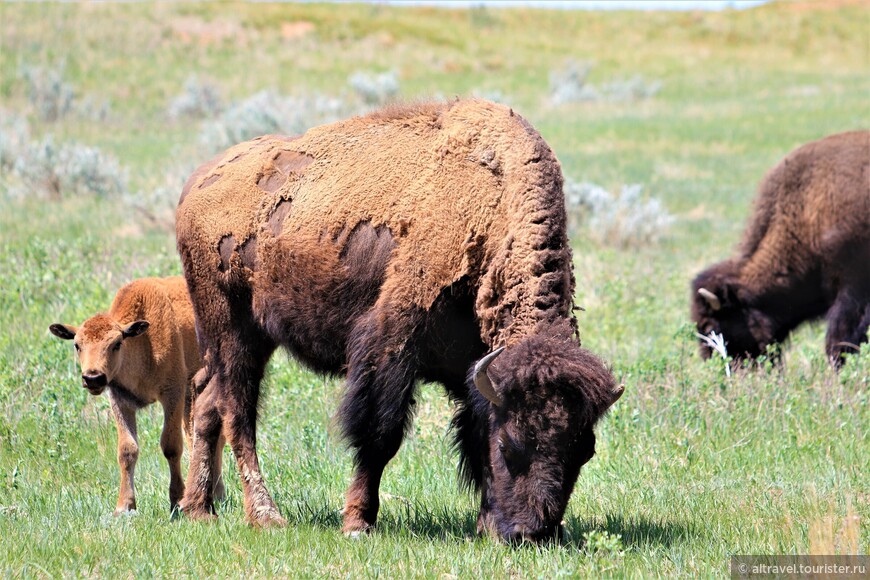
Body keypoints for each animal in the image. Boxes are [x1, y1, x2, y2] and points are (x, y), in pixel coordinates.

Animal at [48, 278, 225, 516]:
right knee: (197, 436)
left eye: (116, 343)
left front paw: (176, 500)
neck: (142, 343)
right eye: (77, 345)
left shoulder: (172, 394)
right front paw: (124, 506)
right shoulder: (120, 401)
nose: (93, 378)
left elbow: (171, 446)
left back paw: (216, 494)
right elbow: (127, 450)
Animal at [177, 101, 624, 544]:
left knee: (206, 400)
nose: (536, 534)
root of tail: (195, 187)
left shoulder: (475, 369)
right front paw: (358, 523)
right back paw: (266, 516)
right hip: (232, 329)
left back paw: (199, 510)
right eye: (509, 445)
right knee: (238, 413)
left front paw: (485, 525)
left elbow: (472, 432)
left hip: (242, 337)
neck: (494, 207)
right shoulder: (390, 348)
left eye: (585, 450)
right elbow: (381, 434)